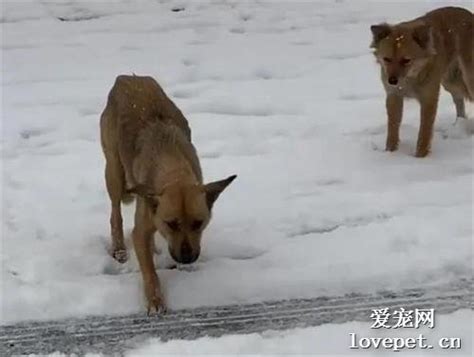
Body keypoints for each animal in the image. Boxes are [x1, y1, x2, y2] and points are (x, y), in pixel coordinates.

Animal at [100, 74, 237, 312]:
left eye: (199, 223)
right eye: (171, 224)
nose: (187, 258)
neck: (174, 171)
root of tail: (126, 77)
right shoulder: (141, 229)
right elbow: (148, 270)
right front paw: (155, 300)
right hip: (114, 172)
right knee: (115, 213)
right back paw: (119, 248)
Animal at [372, 6, 472, 156]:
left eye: (406, 60)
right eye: (387, 59)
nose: (392, 81)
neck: (411, 79)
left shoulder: (429, 98)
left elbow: (424, 132)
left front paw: (420, 156)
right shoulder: (393, 96)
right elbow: (393, 128)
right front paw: (390, 152)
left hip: (469, 78)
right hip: (450, 82)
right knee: (459, 102)